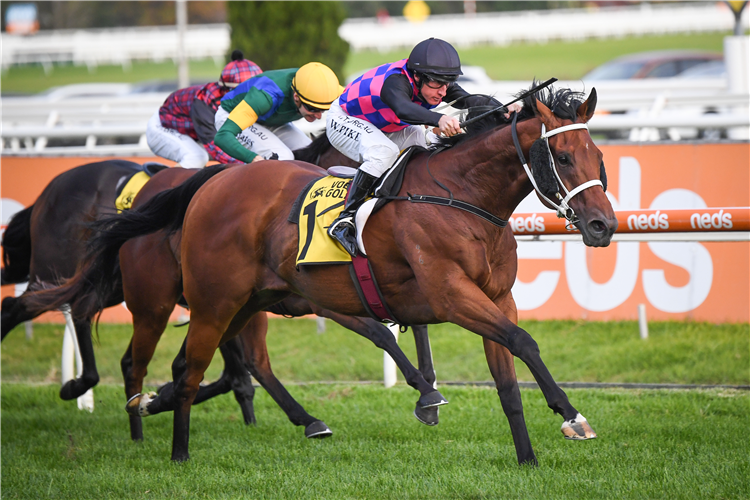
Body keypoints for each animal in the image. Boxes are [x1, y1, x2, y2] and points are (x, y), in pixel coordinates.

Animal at [36, 84, 616, 462]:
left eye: (598, 155)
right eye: (563, 157)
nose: (602, 225)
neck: (462, 196)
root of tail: (210, 183)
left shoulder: (495, 298)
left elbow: (508, 376)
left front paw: (528, 455)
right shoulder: (450, 295)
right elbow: (521, 342)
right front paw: (571, 415)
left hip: (244, 303)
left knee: (192, 367)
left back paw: (166, 411)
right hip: (191, 301)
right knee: (178, 364)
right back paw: (174, 450)